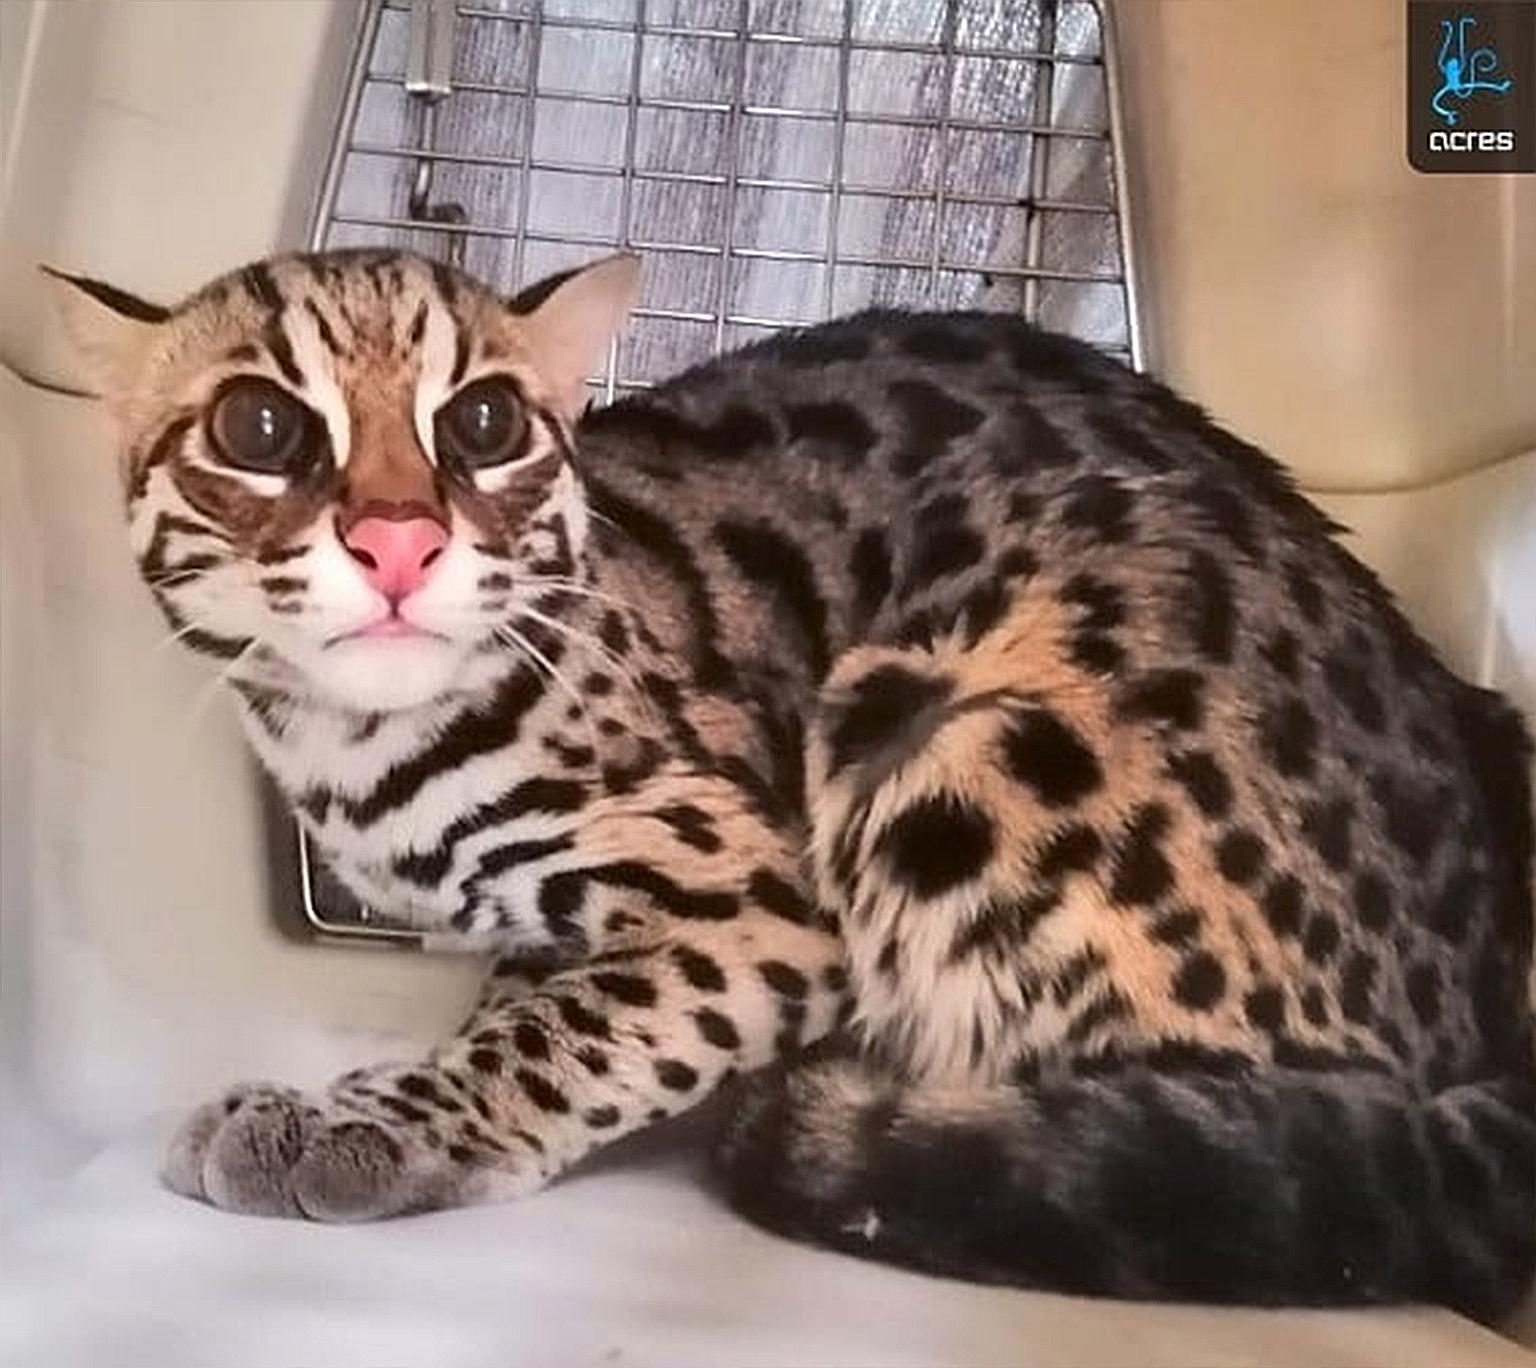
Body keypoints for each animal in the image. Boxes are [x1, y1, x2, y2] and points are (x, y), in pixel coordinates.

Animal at [48, 248, 1534, 1320]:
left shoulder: (759, 904)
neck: (355, 742)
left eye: (483, 422)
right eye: (258, 427)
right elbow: (535, 989)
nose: (401, 540)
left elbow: (563, 1033)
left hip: (947, 734)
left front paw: (375, 1122)